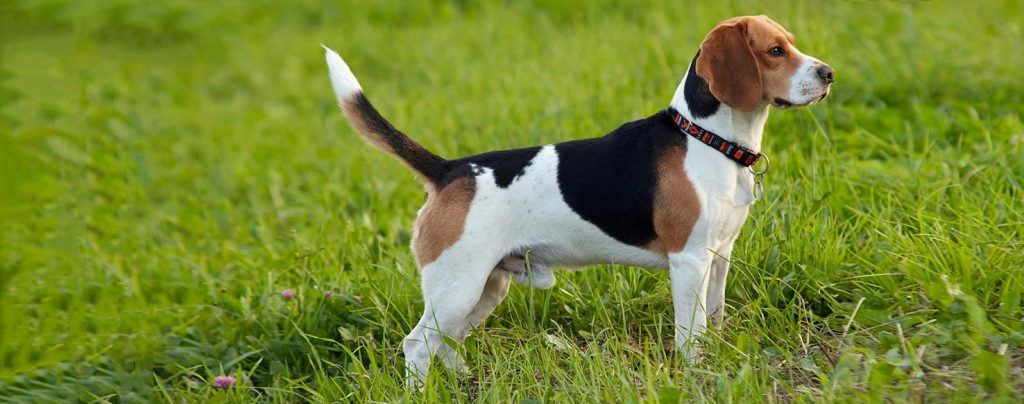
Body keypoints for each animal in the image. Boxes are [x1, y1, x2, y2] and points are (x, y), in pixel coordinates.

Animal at [323, 14, 835, 384]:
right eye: (775, 51)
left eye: (791, 43)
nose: (829, 73)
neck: (707, 138)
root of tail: (449, 169)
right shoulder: (688, 260)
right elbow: (690, 332)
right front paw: (697, 372)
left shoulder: (719, 255)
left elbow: (715, 316)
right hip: (457, 286)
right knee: (417, 347)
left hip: (485, 288)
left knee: (446, 345)